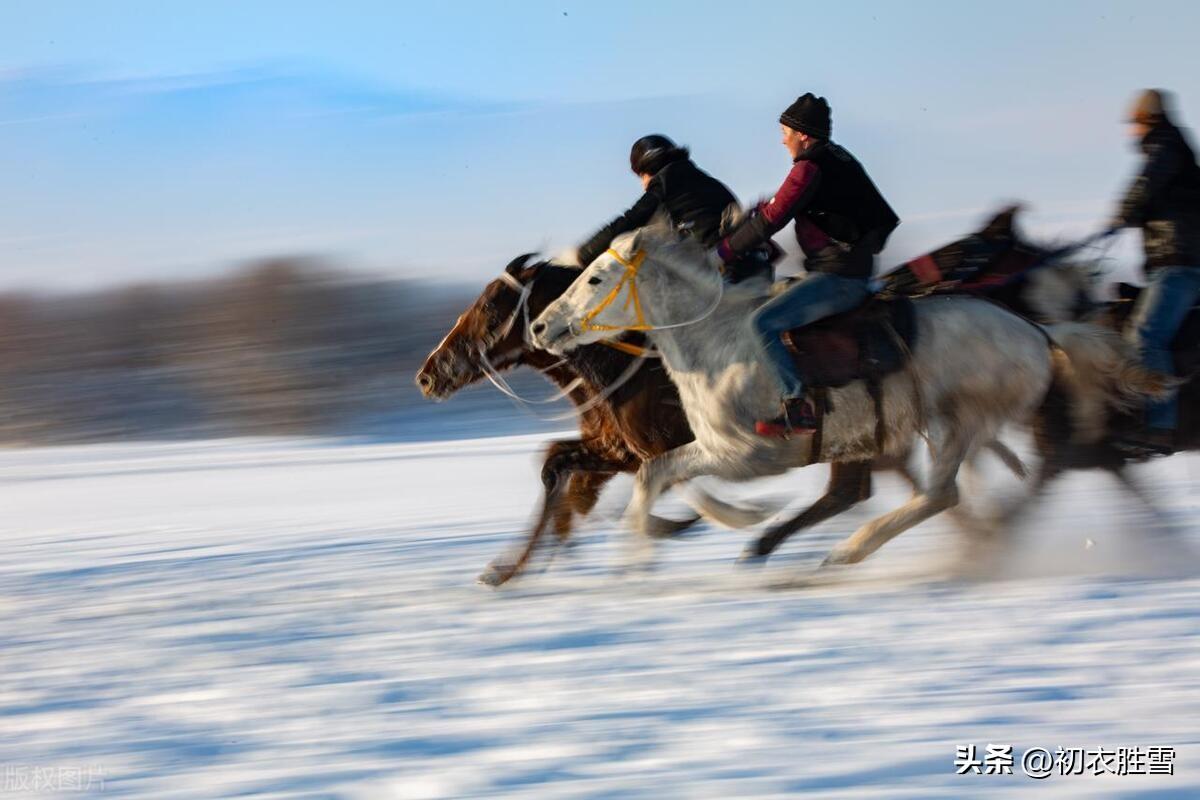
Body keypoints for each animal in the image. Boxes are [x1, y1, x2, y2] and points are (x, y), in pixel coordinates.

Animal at [528, 225, 1161, 568]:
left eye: (595, 278)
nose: (540, 326)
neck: (718, 345)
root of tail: (1037, 332)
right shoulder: (711, 448)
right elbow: (661, 475)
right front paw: (723, 525)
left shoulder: (749, 454)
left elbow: (654, 475)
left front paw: (641, 557)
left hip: (955, 424)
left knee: (940, 496)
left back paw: (850, 550)